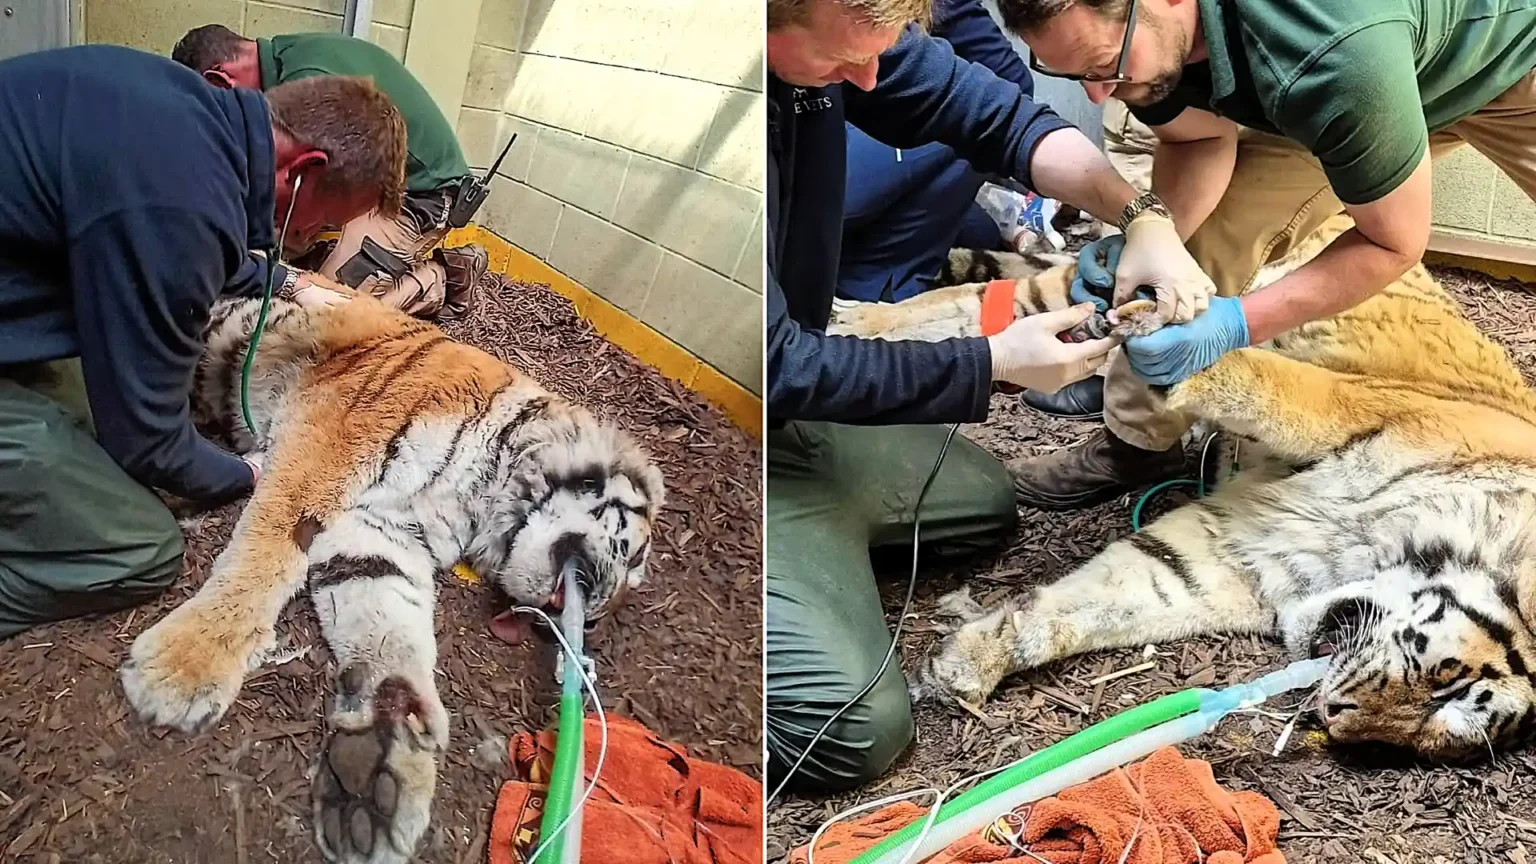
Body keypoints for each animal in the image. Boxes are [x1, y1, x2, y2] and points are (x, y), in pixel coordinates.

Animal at [116, 292, 665, 864]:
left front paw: (380, 770)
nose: (594, 621)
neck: (491, 491)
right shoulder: (337, 434)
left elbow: (387, 630)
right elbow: (271, 549)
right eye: (636, 558)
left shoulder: (383, 531)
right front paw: (183, 669)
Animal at [847, 215, 1536, 762]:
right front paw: (1157, 330)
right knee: (979, 300)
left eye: (1437, 732)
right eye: (1444, 680)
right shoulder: (1354, 408)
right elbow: (1242, 373)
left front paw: (966, 664)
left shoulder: (1233, 559)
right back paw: (853, 320)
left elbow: (1087, 608)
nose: (1335, 720)